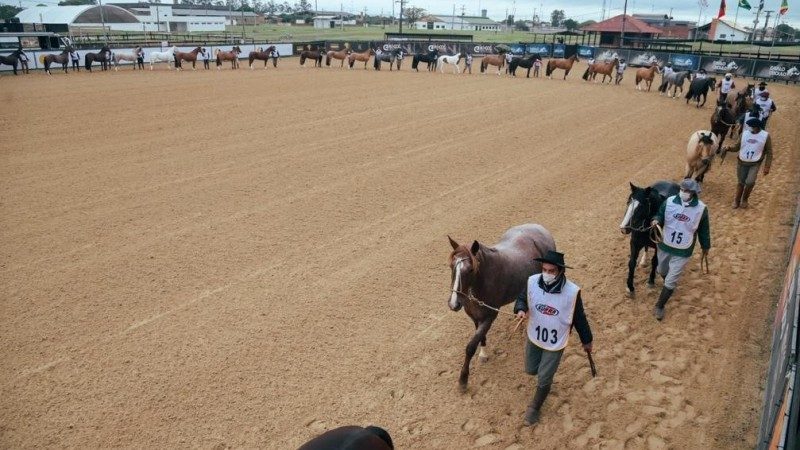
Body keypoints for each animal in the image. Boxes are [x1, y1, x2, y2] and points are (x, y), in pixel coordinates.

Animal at [446, 223, 552, 392]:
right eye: (451, 266)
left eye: (470, 269)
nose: (453, 303)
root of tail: (538, 227)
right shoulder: (474, 315)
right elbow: (480, 336)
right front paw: (483, 354)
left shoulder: (490, 316)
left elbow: (470, 346)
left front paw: (463, 380)